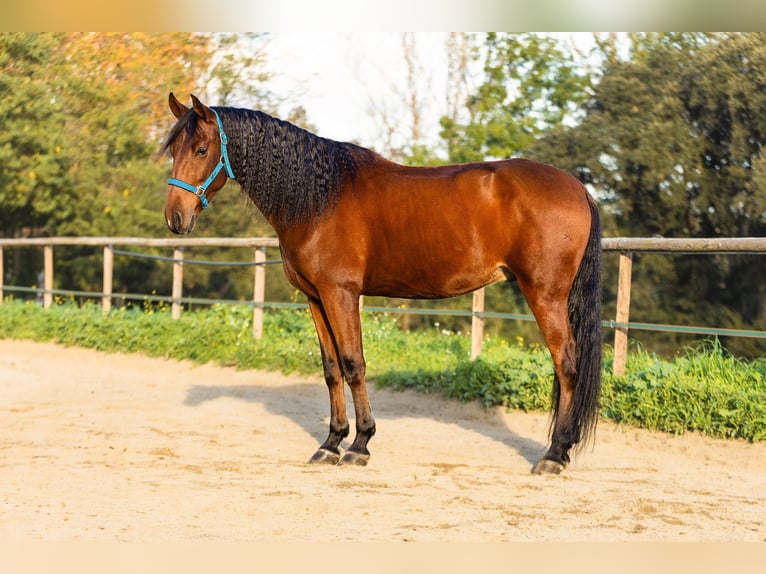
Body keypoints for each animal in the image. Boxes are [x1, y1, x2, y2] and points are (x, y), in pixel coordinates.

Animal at [160, 93, 602, 475]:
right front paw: (330, 444)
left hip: (545, 294)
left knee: (566, 364)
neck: (319, 198)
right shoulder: (315, 298)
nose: (175, 219)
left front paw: (360, 445)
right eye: (173, 149)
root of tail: (578, 188)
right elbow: (331, 369)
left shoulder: (341, 294)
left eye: (201, 151)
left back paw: (554, 454)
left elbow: (354, 364)